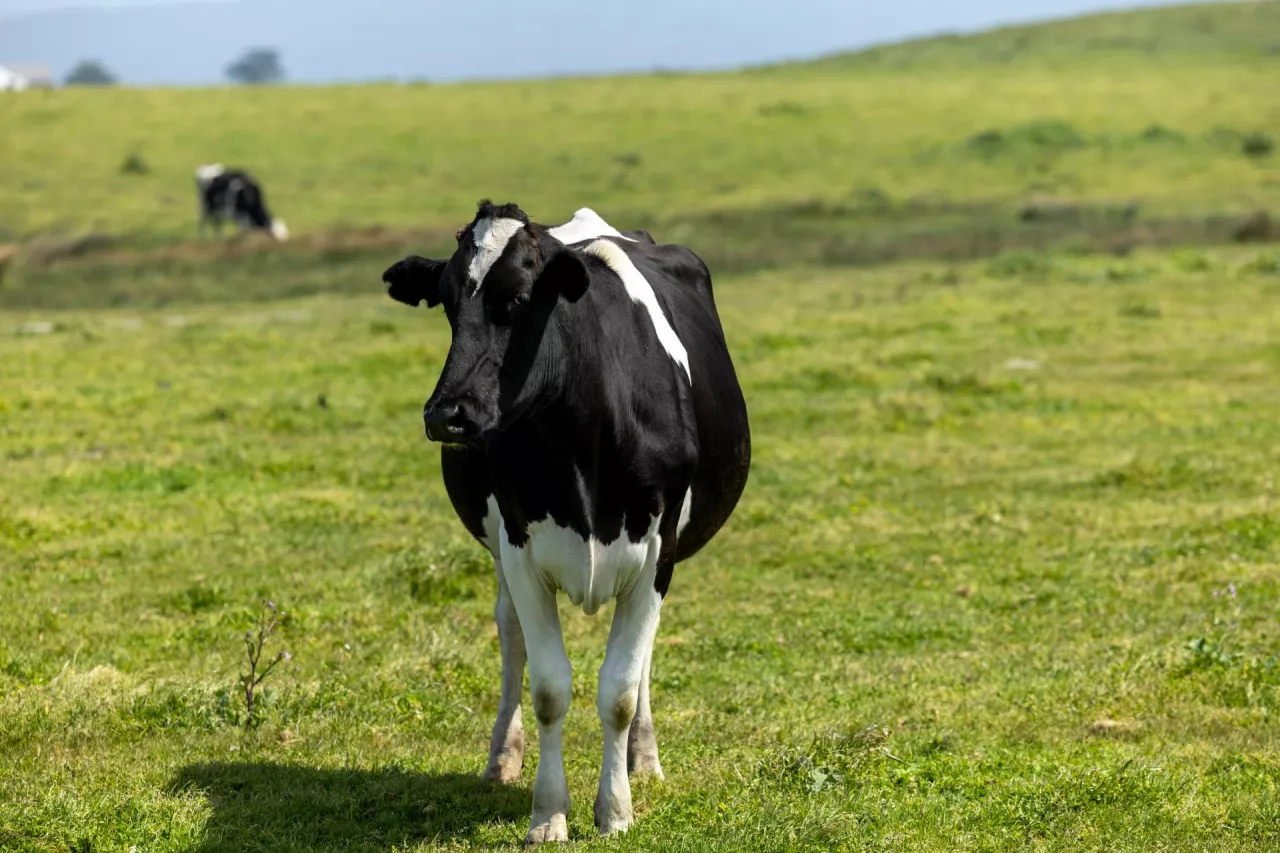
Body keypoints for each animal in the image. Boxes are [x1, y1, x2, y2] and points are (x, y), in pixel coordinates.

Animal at [384, 202, 752, 840]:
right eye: (447, 303)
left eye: (518, 298)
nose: (446, 414)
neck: (580, 435)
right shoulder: (520, 550)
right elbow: (550, 688)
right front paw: (549, 813)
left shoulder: (657, 554)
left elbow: (620, 691)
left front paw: (617, 809)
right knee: (510, 635)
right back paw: (501, 758)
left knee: (642, 659)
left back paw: (644, 758)